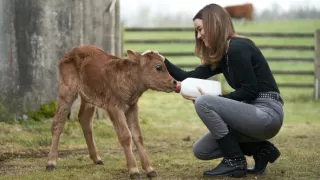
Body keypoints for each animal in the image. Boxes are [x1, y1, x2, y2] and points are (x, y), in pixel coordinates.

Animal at [45, 45, 176, 179]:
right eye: (158, 67)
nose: (174, 82)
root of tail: (72, 51)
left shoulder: (132, 107)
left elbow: (138, 135)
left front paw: (149, 169)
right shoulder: (113, 107)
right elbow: (125, 136)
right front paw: (134, 170)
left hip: (89, 97)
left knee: (85, 119)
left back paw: (96, 158)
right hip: (67, 90)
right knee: (58, 122)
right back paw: (51, 163)